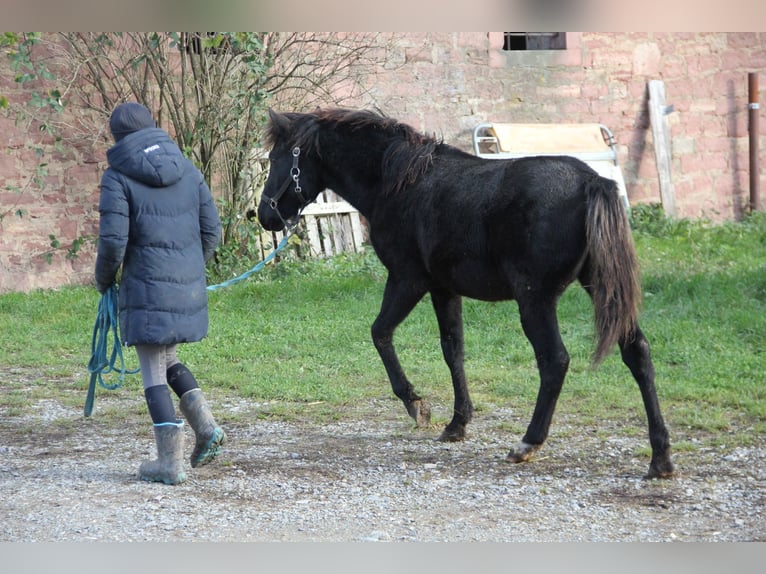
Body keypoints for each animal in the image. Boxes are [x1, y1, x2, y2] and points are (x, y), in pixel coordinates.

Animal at [260, 107, 676, 476]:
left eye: (276, 158)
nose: (264, 216)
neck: (398, 182)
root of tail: (593, 181)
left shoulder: (407, 280)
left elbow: (380, 333)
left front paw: (416, 403)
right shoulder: (444, 290)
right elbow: (453, 351)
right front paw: (457, 423)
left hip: (535, 300)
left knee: (555, 361)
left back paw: (528, 443)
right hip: (599, 289)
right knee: (637, 353)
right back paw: (660, 458)